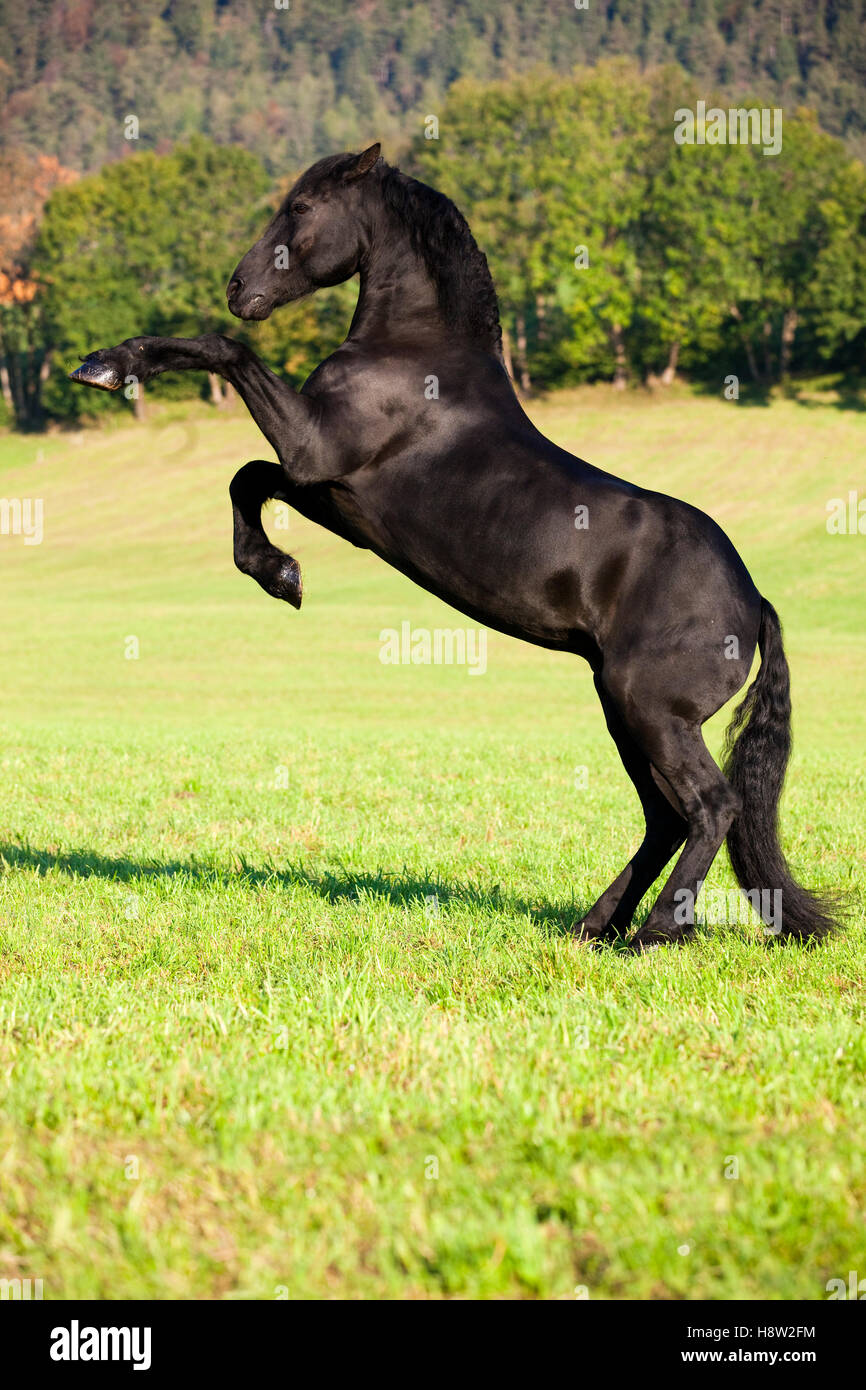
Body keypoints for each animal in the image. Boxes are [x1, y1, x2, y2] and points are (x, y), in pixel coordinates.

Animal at [69, 142, 837, 951]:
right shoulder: (329, 492)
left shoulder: (312, 448)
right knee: (666, 817)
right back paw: (594, 926)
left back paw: (656, 932)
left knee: (709, 807)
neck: (415, 355)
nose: (238, 288)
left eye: (300, 209)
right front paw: (280, 573)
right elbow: (246, 478)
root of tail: (752, 599)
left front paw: (109, 365)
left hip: (651, 710)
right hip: (623, 708)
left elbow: (226, 357)